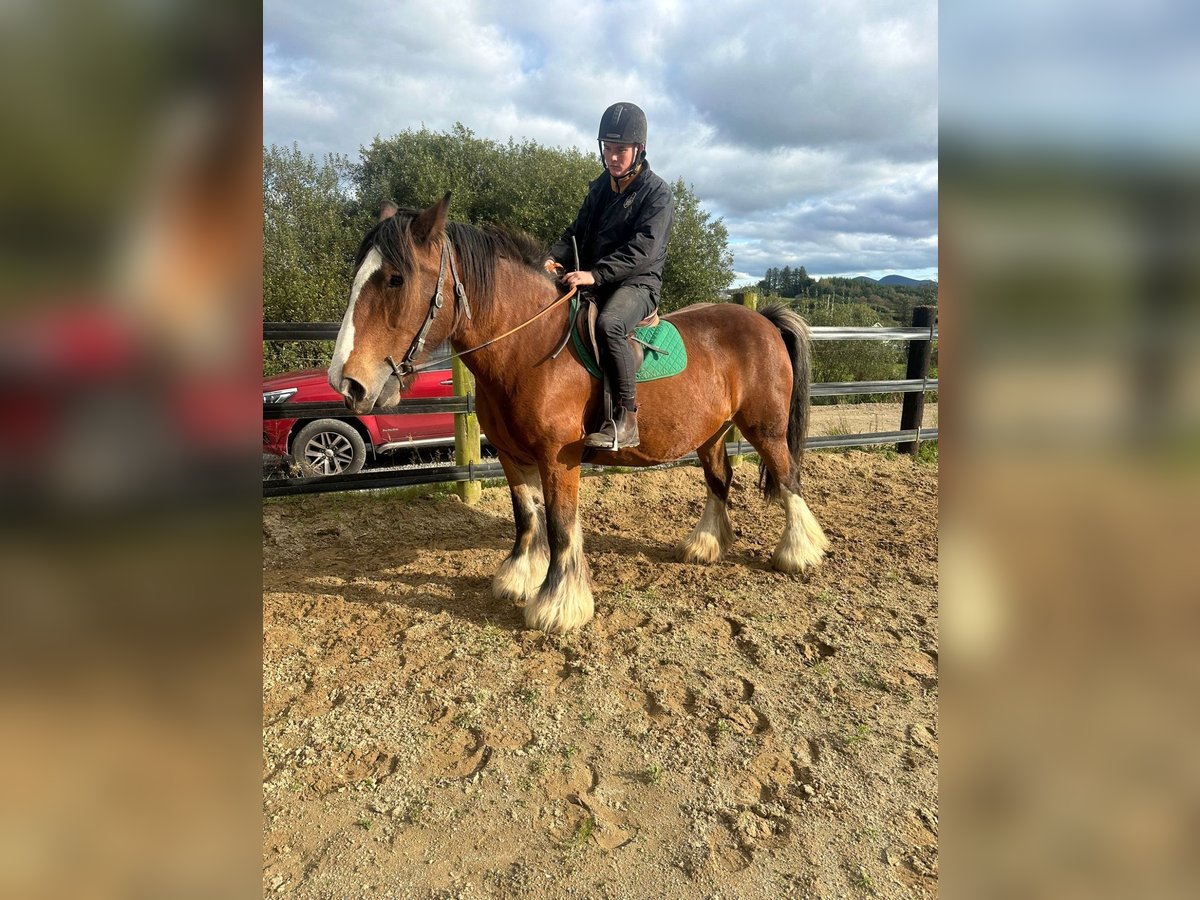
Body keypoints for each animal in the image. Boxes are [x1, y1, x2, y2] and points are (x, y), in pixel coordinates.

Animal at [328, 196, 825, 633]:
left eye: (395, 279)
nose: (347, 382)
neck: (529, 348)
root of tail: (763, 320)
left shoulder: (558, 458)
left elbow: (560, 525)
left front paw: (558, 605)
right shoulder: (510, 456)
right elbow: (527, 517)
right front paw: (518, 577)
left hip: (766, 429)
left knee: (788, 479)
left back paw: (799, 552)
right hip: (711, 433)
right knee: (720, 480)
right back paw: (705, 545)